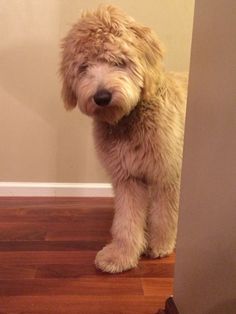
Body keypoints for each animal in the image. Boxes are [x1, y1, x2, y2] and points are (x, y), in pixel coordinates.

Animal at [60, 6, 188, 274]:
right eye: (84, 66)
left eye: (119, 62)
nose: (102, 97)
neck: (129, 120)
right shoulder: (127, 177)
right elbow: (126, 220)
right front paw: (121, 255)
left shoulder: (167, 174)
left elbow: (165, 214)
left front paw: (160, 245)